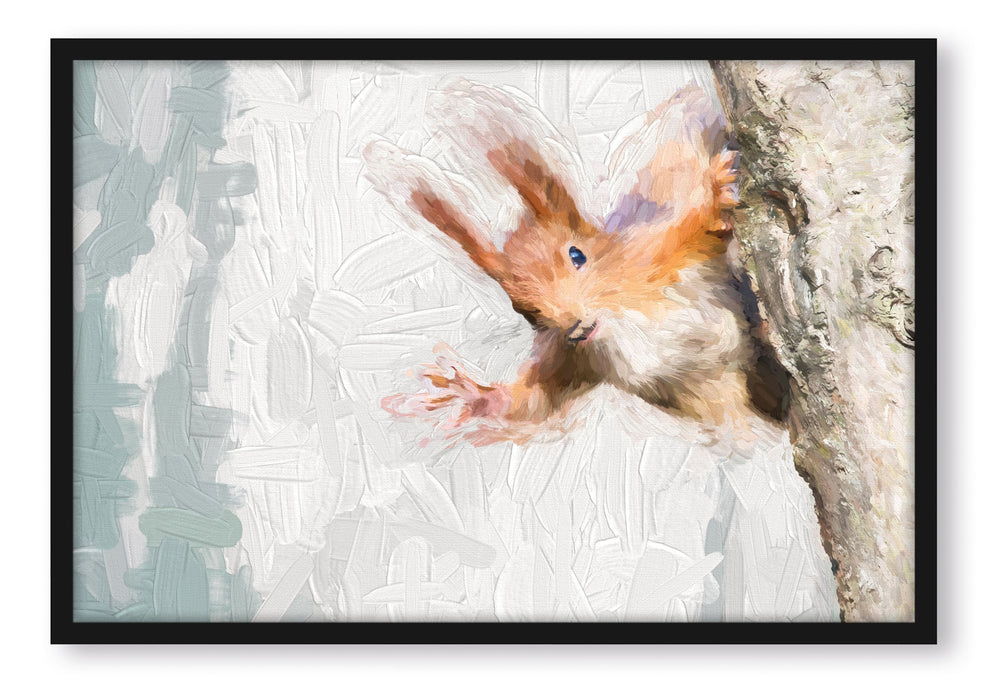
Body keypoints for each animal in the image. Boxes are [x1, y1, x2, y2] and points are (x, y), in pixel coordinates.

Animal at [364, 82, 786, 446]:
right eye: (522, 309)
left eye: (577, 255)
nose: (576, 326)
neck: (618, 324)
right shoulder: (575, 358)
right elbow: (534, 401)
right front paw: (475, 397)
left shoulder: (656, 255)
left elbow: (699, 227)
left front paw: (719, 187)